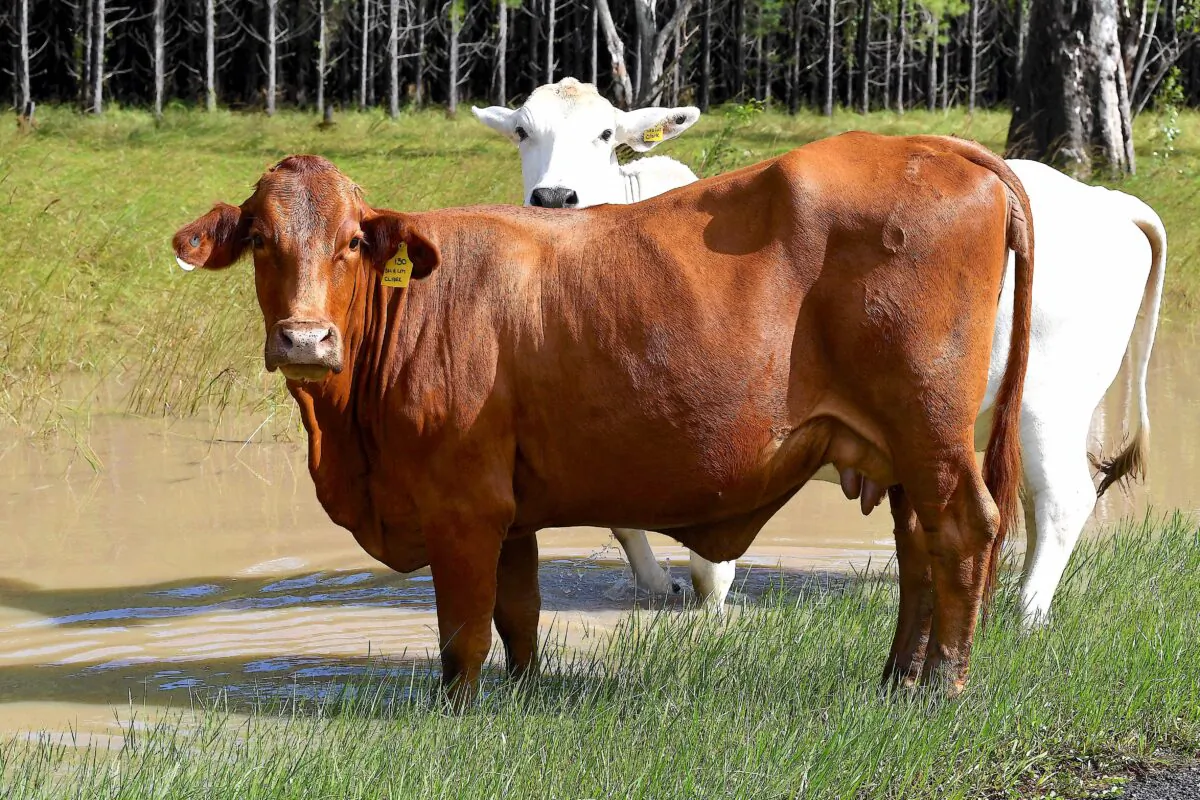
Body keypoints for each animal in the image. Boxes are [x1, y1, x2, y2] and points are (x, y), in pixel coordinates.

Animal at [172, 134, 1034, 701]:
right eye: (260, 239)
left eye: (352, 242)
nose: (304, 339)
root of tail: (932, 145)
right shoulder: (509, 512)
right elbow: (518, 617)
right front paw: (522, 698)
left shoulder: (462, 506)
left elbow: (462, 635)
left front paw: (457, 712)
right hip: (901, 446)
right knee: (918, 546)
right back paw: (896, 679)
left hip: (930, 430)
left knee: (962, 532)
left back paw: (942, 687)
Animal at [476, 78, 1167, 626]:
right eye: (522, 131)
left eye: (604, 133)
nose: (554, 197)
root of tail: (1107, 201)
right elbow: (624, 522)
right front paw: (656, 584)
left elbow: (707, 561)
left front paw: (709, 601)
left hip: (1050, 402)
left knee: (1063, 499)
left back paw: (1027, 614)